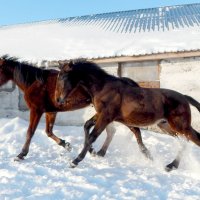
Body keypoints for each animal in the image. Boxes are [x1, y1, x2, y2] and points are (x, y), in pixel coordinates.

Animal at [54, 59, 200, 170]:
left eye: (64, 77)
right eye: (58, 77)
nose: (59, 100)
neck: (103, 88)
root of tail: (185, 98)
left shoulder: (106, 116)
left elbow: (92, 136)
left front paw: (75, 161)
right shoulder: (101, 114)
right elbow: (86, 125)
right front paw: (93, 151)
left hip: (180, 126)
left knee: (193, 139)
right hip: (166, 125)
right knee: (184, 143)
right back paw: (171, 165)